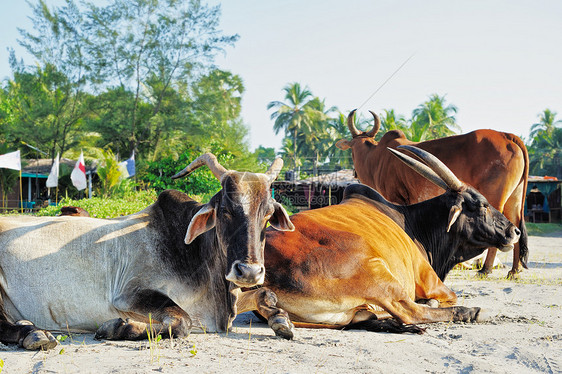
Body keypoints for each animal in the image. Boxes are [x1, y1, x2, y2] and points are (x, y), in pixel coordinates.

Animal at [0, 153, 296, 350]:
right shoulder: (129, 295)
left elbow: (266, 294)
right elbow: (182, 322)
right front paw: (118, 327)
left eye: (267, 214)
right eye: (224, 210)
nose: (249, 272)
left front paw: (283, 322)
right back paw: (35, 334)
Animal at [260, 146, 520, 334]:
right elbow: (445, 298)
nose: (514, 231)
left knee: (368, 316)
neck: (415, 224)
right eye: (482, 204)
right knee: (410, 311)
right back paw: (471, 312)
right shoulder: (430, 280)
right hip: (378, 273)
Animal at [334, 109, 528, 280]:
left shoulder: (395, 197)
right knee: (516, 220)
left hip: (496, 196)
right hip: (515, 198)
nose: (354, 172)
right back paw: (514, 271)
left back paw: (485, 269)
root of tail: (508, 136)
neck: (376, 157)